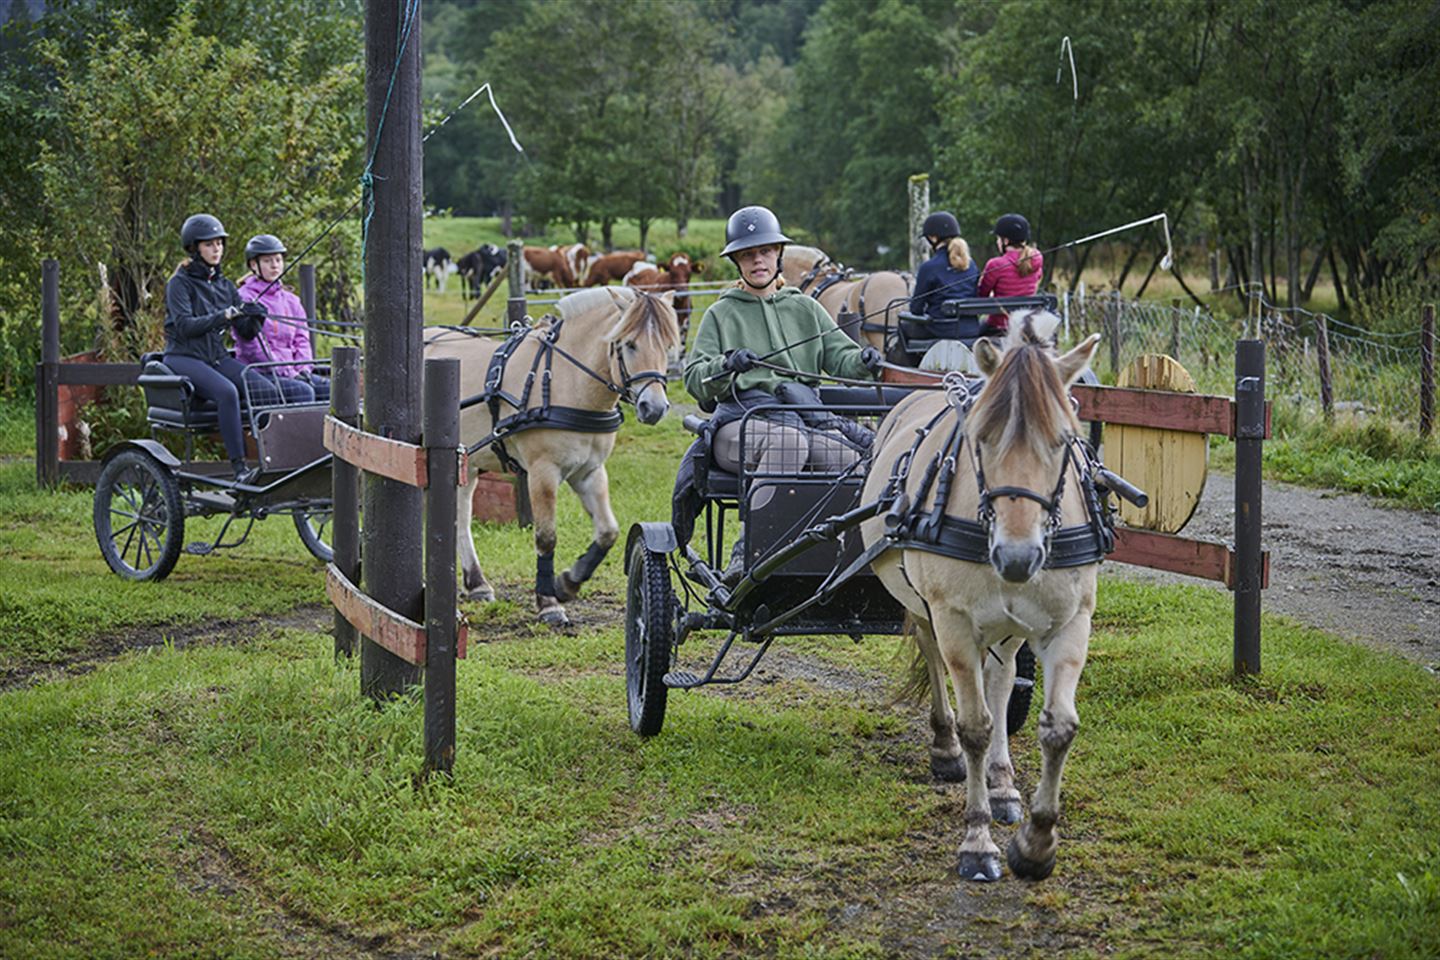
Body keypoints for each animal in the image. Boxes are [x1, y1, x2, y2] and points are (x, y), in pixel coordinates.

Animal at [420, 289, 679, 627]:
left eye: (667, 345)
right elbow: (546, 537)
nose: (655, 407)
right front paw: (548, 602)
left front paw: (568, 582)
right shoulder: (542, 472)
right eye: (629, 344)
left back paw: (477, 583)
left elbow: (608, 531)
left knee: (460, 517)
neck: (565, 382)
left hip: (467, 462)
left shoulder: (590, 471)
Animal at [858, 315, 1105, 886]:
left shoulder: (1071, 622)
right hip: (926, 609)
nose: (1017, 556)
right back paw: (946, 748)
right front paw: (977, 841)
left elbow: (1059, 727)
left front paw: (1036, 844)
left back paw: (1002, 784)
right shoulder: (952, 619)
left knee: (1001, 675)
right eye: (981, 439)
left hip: (1008, 627)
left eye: (1064, 440)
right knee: (937, 663)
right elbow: (975, 726)